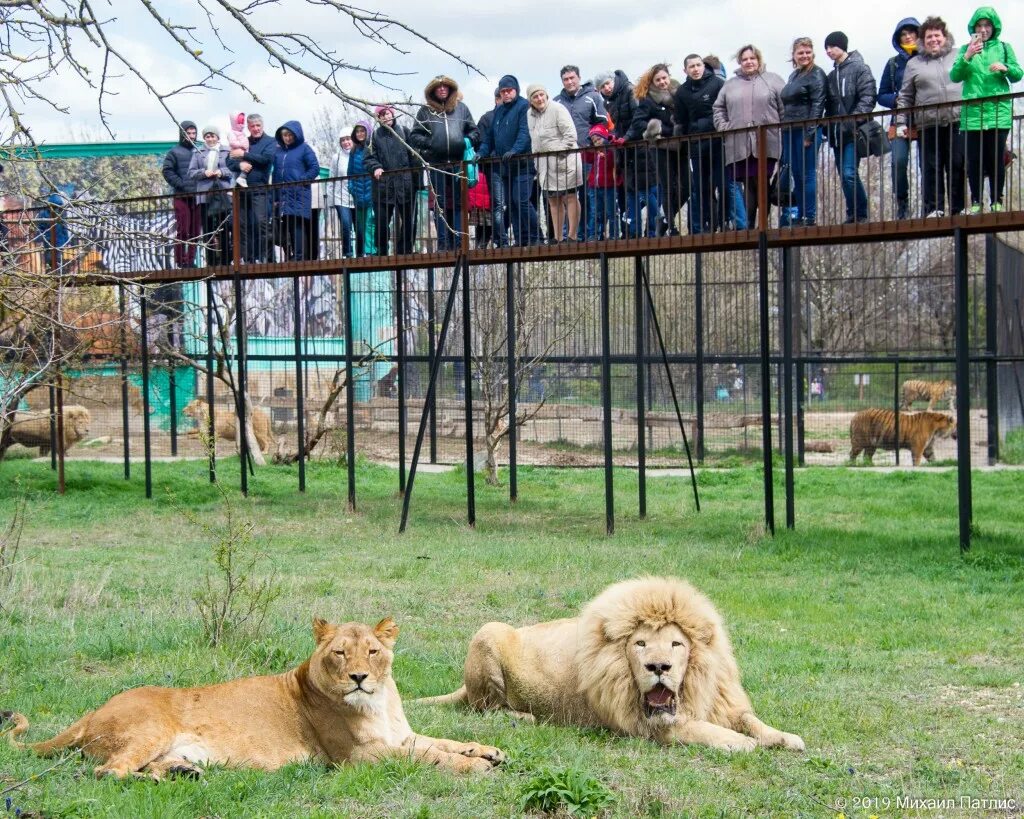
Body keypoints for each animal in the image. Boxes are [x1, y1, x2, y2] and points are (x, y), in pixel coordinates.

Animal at [2, 618, 505, 778]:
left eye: (373, 651)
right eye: (341, 653)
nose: (360, 677)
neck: (380, 702)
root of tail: (92, 711)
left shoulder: (400, 736)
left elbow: (441, 742)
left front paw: (490, 751)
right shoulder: (359, 758)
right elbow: (429, 757)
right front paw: (475, 767)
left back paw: (182, 772)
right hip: (149, 728)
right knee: (109, 772)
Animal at [417, 573, 806, 753]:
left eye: (677, 644)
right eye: (640, 643)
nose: (659, 667)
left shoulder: (723, 703)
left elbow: (752, 721)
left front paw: (786, 738)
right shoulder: (653, 728)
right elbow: (710, 732)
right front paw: (743, 744)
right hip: (488, 633)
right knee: (487, 709)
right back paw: (526, 718)